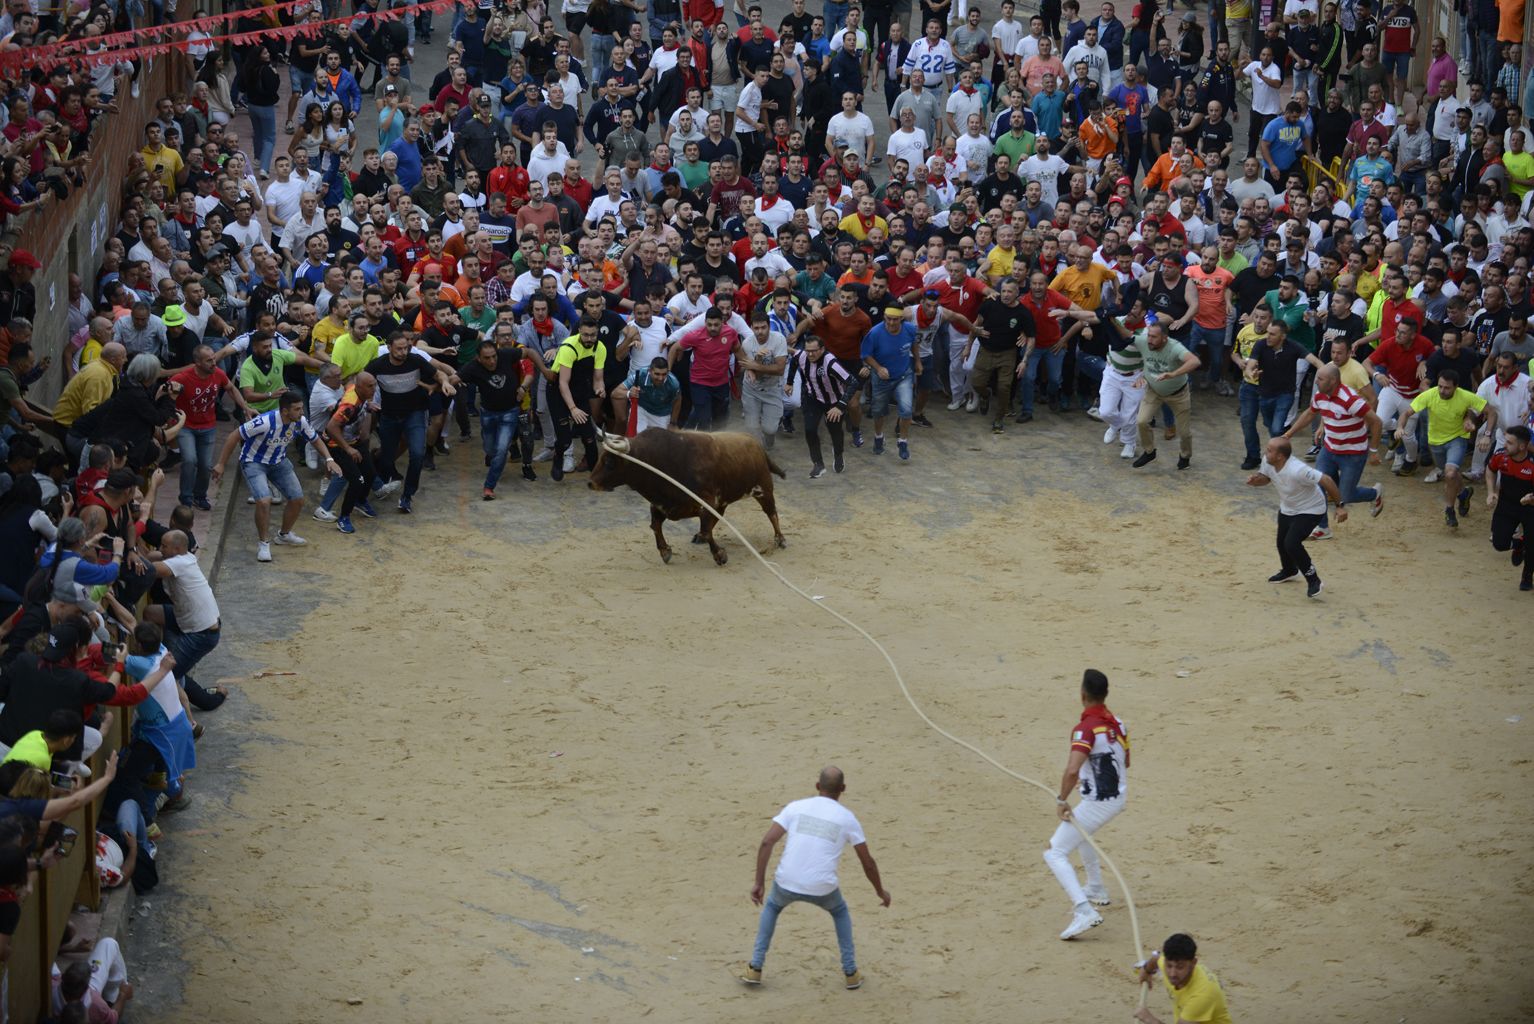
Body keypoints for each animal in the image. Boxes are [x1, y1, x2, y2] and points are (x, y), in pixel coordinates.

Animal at [589, 426, 791, 564]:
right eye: (601, 458)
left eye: (609, 462)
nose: (590, 483)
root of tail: (756, 444)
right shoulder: (662, 504)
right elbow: (655, 526)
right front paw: (665, 551)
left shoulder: (706, 502)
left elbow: (707, 530)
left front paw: (720, 555)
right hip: (725, 500)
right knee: (719, 516)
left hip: (764, 489)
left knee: (772, 513)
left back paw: (780, 539)